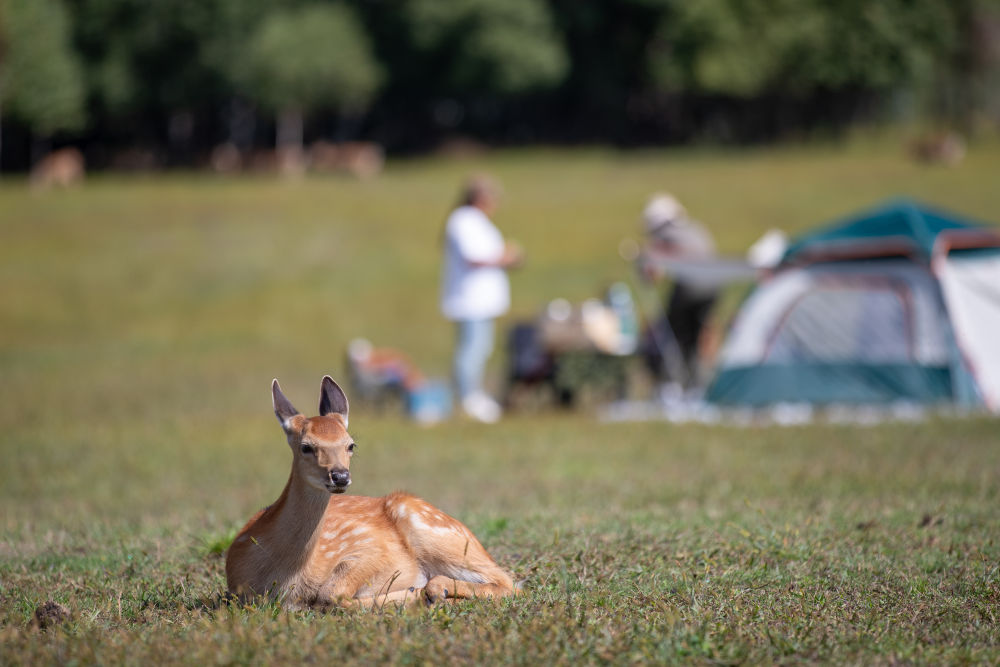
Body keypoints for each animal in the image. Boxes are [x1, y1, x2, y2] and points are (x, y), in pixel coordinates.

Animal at [228, 376, 520, 612]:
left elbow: (331, 594)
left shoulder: (372, 548)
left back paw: (436, 590)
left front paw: (413, 593)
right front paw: (414, 594)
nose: (340, 476)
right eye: (306, 446)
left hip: (433, 529)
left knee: (509, 583)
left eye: (351, 445)